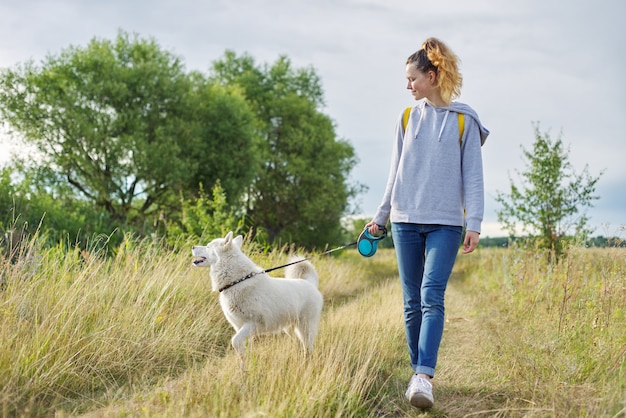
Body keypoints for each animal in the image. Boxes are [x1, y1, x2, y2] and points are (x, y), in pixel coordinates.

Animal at [191, 230, 324, 360]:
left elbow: (235, 341)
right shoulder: (239, 327)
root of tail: (310, 283)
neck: (236, 281)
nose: (192, 247)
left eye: (208, 246)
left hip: (305, 328)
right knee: (299, 344)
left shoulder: (253, 324)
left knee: (308, 347)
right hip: (290, 328)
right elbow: (243, 350)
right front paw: (245, 365)